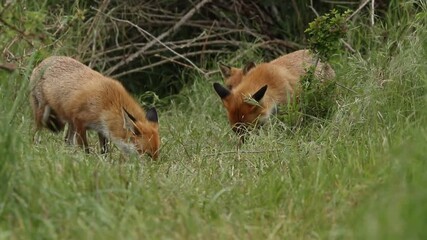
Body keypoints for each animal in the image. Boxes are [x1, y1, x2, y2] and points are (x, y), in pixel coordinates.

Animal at [29, 55, 160, 158]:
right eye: (147, 154)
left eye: (156, 154)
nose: (152, 168)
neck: (108, 104)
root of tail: (43, 61)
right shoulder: (80, 122)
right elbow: (85, 149)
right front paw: (87, 161)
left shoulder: (101, 129)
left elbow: (104, 150)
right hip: (42, 113)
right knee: (35, 133)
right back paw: (35, 146)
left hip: (70, 123)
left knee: (67, 141)